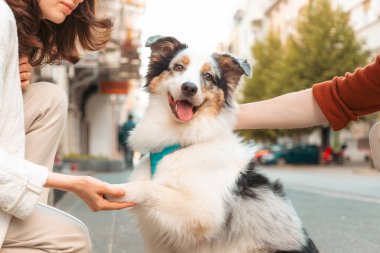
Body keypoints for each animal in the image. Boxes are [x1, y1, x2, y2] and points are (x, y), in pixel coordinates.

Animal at [108, 35, 320, 253]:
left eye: (208, 76)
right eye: (178, 67)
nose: (189, 88)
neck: (181, 140)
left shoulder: (202, 212)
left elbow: (149, 187)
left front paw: (117, 190)